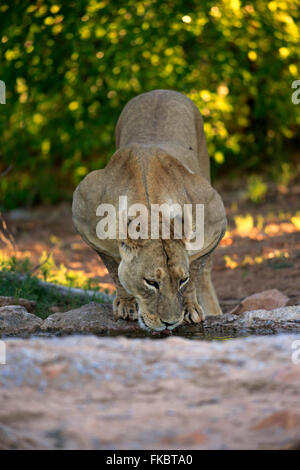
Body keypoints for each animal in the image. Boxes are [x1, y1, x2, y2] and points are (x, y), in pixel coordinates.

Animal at [72, 90, 227, 332]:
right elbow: (113, 267)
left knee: (206, 272)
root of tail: (160, 91)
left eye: (181, 280)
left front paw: (191, 308)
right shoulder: (83, 212)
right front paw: (125, 304)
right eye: (151, 282)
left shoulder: (214, 215)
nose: (170, 323)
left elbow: (196, 270)